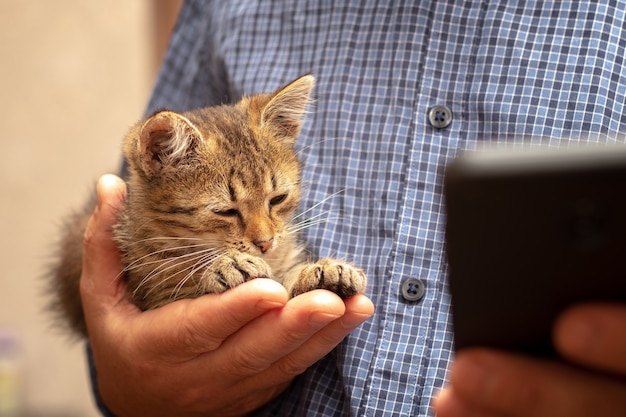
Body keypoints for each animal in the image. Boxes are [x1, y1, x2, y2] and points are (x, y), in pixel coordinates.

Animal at [48, 73, 366, 336]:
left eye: (277, 199)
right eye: (226, 211)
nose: (265, 244)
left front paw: (320, 270)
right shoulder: (153, 295)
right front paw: (223, 267)